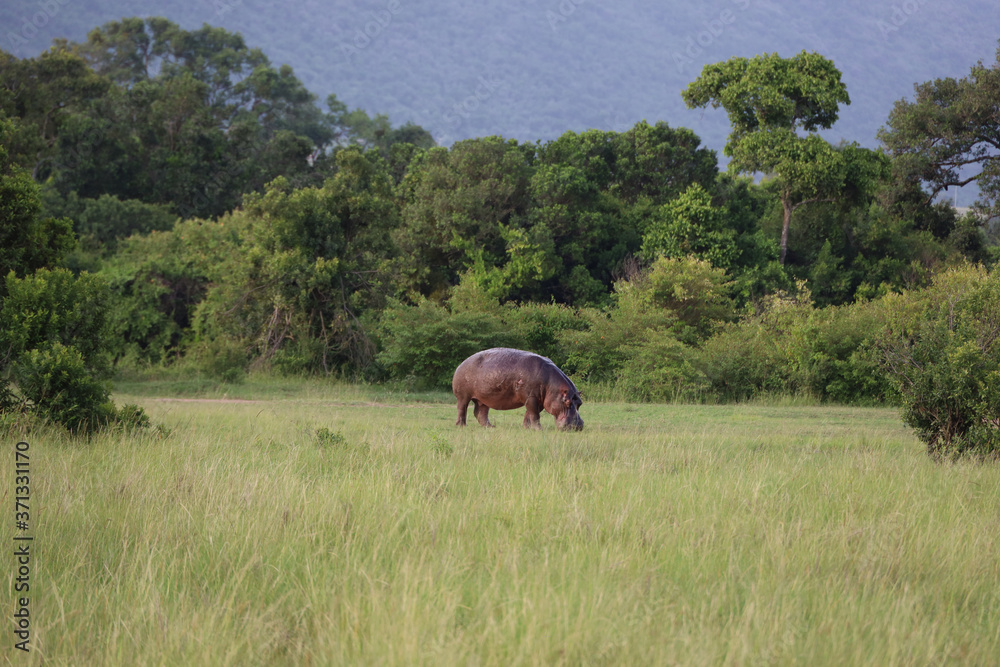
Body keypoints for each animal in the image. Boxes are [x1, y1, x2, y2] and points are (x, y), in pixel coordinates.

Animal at [452, 348, 584, 431]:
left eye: (580, 403)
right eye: (567, 402)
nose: (578, 426)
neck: (551, 386)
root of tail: (461, 363)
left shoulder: (540, 400)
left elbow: (529, 414)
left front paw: (527, 428)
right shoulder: (531, 397)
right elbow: (534, 414)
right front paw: (539, 429)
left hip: (483, 398)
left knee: (480, 413)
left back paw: (490, 427)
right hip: (463, 396)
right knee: (462, 409)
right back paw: (461, 426)